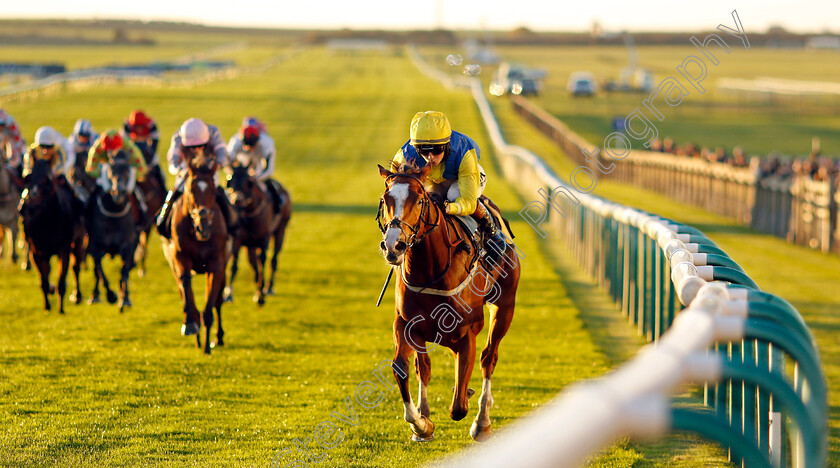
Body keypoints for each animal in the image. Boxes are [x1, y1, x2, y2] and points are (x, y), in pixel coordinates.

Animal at [18, 159, 85, 312]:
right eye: (28, 178)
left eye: (47, 179)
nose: (31, 207)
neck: (47, 223)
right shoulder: (36, 250)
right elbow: (43, 280)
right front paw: (47, 304)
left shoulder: (64, 249)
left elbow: (62, 280)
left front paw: (60, 308)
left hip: (79, 241)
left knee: (76, 267)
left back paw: (77, 296)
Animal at [86, 153, 139, 310]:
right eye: (110, 170)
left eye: (127, 171)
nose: (118, 192)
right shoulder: (96, 244)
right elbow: (99, 270)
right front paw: (110, 295)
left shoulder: (128, 244)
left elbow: (124, 271)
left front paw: (125, 298)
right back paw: (95, 295)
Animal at [160, 153, 226, 354]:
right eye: (190, 189)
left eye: (213, 190)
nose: (203, 225)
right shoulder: (180, 257)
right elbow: (186, 285)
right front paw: (190, 324)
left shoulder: (217, 263)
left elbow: (211, 303)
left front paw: (207, 347)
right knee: (182, 290)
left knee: (218, 300)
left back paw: (217, 338)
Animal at [225, 166, 290, 306]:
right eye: (229, 180)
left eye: (248, 182)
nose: (237, 200)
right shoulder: (237, 240)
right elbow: (234, 266)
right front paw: (228, 294)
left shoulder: (264, 239)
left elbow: (262, 260)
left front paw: (261, 294)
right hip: (250, 245)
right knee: (252, 261)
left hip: (280, 231)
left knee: (273, 260)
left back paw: (269, 288)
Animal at [378, 165, 520, 442]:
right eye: (385, 199)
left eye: (418, 200)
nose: (394, 246)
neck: (430, 270)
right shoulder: (406, 324)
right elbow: (406, 368)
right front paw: (422, 424)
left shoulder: (467, 333)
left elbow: (458, 407)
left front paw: (465, 400)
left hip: (505, 306)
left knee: (489, 358)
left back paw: (482, 421)